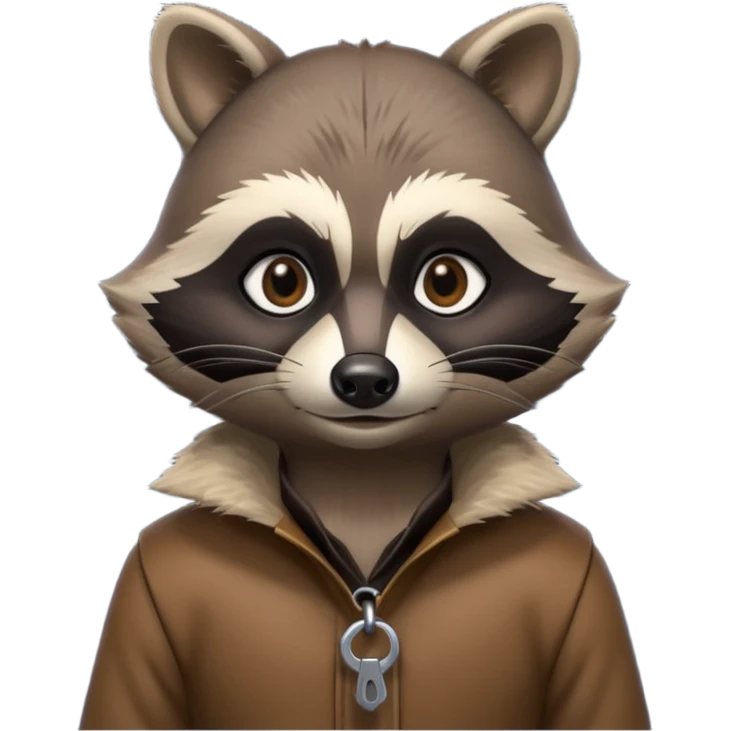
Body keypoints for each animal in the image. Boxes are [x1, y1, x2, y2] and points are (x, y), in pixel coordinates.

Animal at [86, 3, 649, 730]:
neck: (364, 490)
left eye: (445, 280)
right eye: (281, 280)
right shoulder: (149, 576)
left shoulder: (581, 575)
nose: (362, 379)